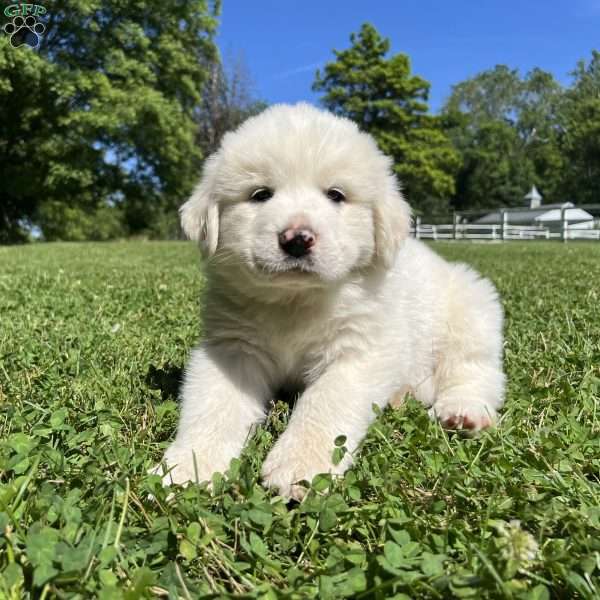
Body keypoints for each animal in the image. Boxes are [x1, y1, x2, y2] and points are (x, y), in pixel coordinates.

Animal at [157, 104, 504, 502]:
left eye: (336, 195)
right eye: (260, 194)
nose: (296, 239)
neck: (295, 300)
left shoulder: (359, 352)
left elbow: (325, 401)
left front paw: (300, 466)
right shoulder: (232, 349)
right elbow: (214, 406)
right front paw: (187, 467)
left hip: (471, 306)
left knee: (475, 370)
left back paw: (462, 411)